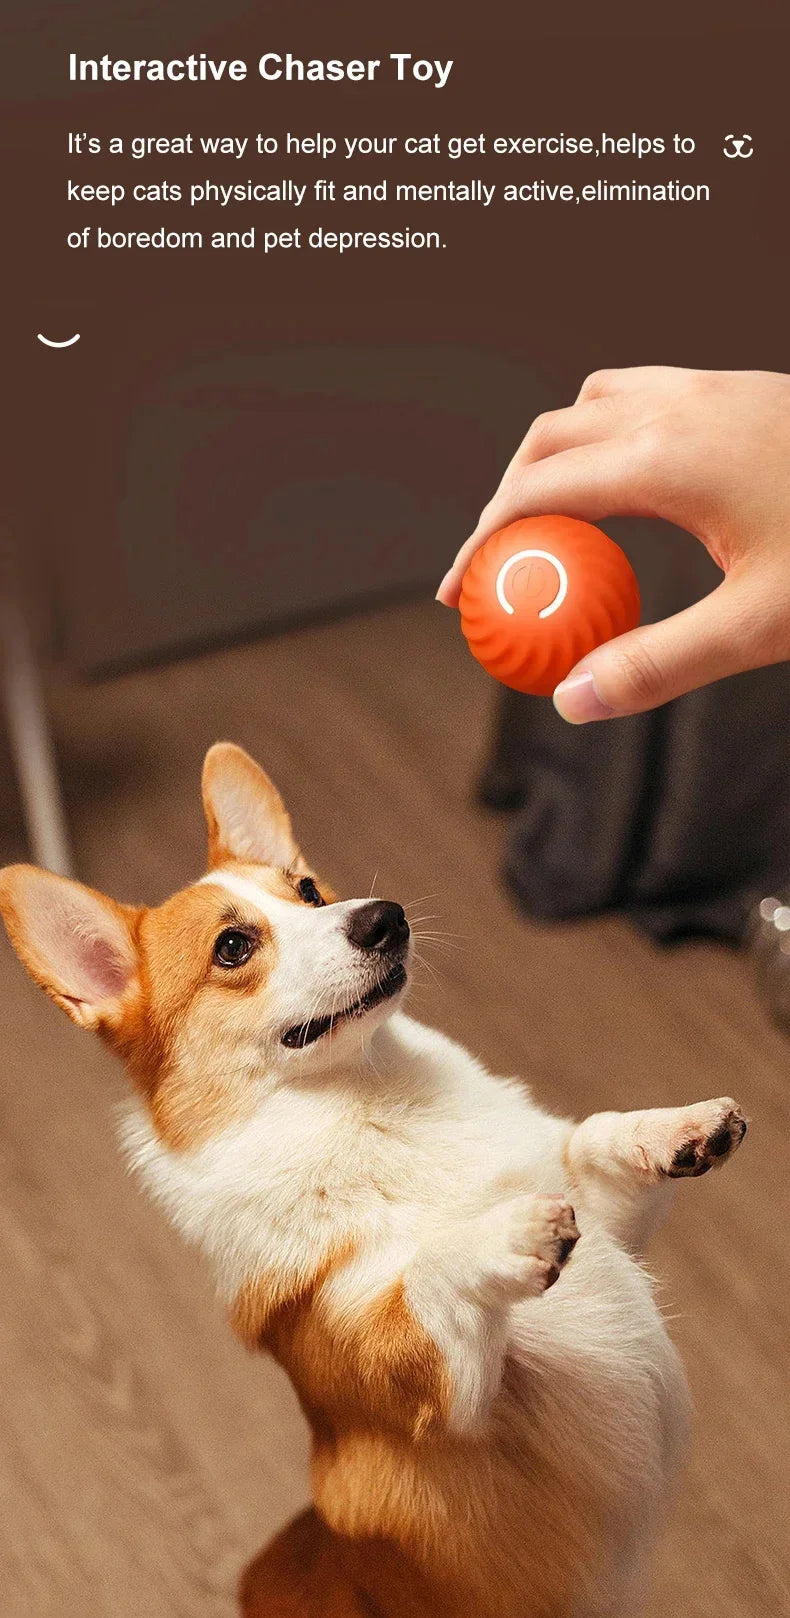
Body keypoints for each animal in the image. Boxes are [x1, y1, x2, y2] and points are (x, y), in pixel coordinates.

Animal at [0, 742, 747, 1617]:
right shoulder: (446, 1393)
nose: (384, 915)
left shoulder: (613, 1229)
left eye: (310, 891)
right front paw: (501, 1232)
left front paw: (678, 1128)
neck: (373, 1103)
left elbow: (594, 1141)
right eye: (233, 948)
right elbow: (430, 1273)